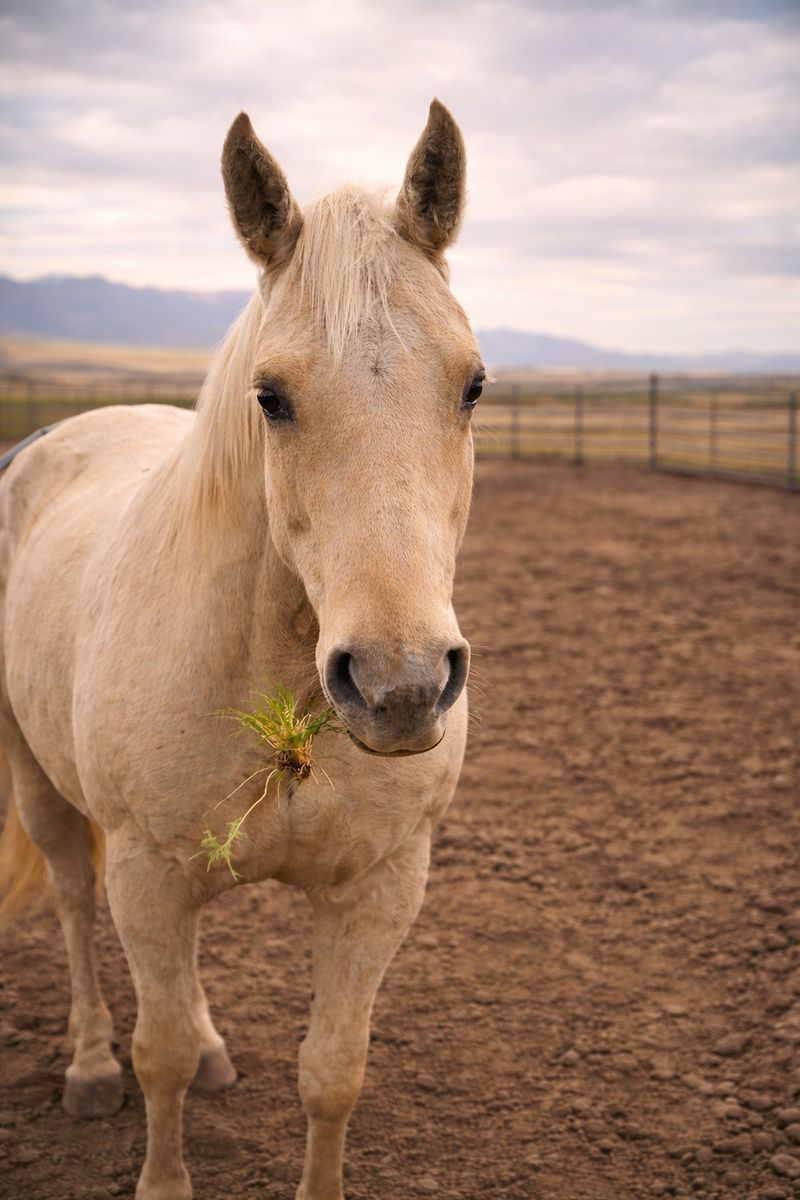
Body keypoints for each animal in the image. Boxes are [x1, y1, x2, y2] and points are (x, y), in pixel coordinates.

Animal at [0, 99, 482, 1200]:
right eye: (271, 397)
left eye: (473, 385)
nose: (398, 686)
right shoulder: (146, 876)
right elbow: (160, 1057)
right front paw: (160, 1170)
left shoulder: (379, 887)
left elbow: (332, 1074)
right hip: (42, 789)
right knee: (74, 906)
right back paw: (87, 1067)